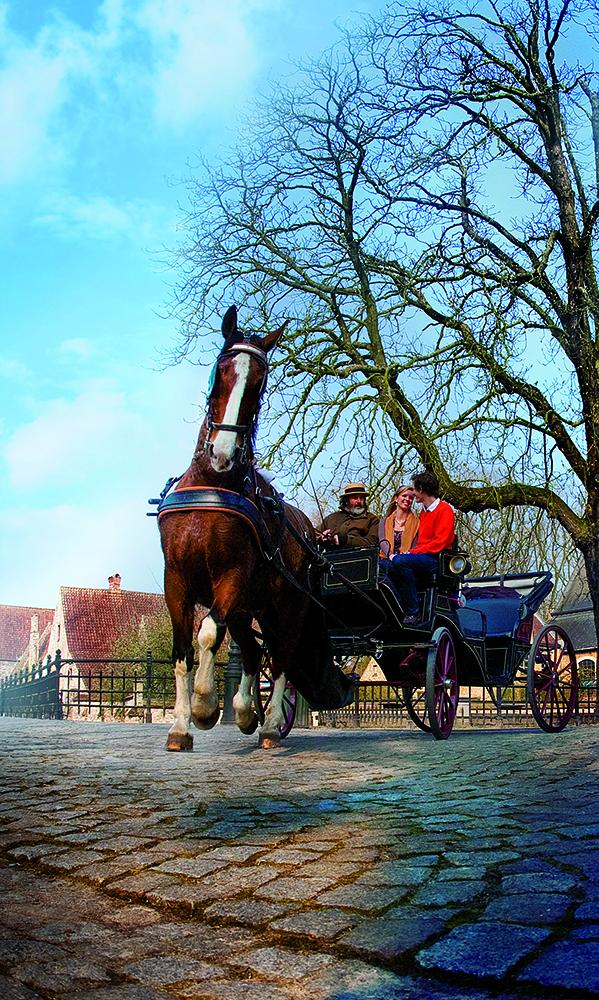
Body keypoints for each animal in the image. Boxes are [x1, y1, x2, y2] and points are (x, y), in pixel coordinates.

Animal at [158, 304, 356, 752]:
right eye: (220, 370)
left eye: (261, 381)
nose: (223, 453)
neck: (213, 484)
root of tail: (314, 540)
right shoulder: (175, 579)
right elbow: (182, 651)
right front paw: (180, 726)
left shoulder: (230, 576)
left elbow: (207, 636)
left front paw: (205, 707)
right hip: (250, 608)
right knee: (251, 652)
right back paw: (248, 712)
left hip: (285, 608)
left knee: (280, 657)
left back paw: (267, 726)